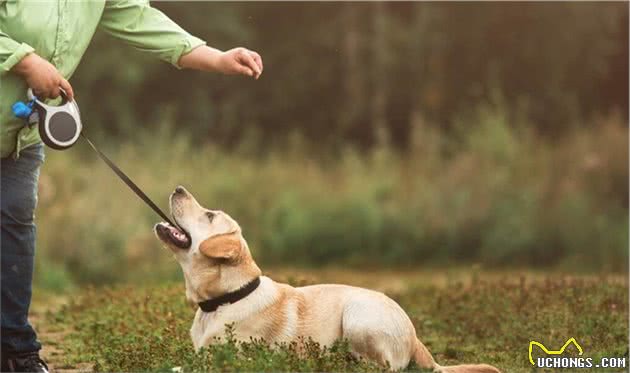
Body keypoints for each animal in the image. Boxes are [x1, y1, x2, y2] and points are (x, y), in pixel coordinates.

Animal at [154, 186, 504, 372]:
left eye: (209, 215)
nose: (178, 189)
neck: (226, 298)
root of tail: (416, 339)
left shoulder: (232, 361)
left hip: (358, 317)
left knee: (382, 367)